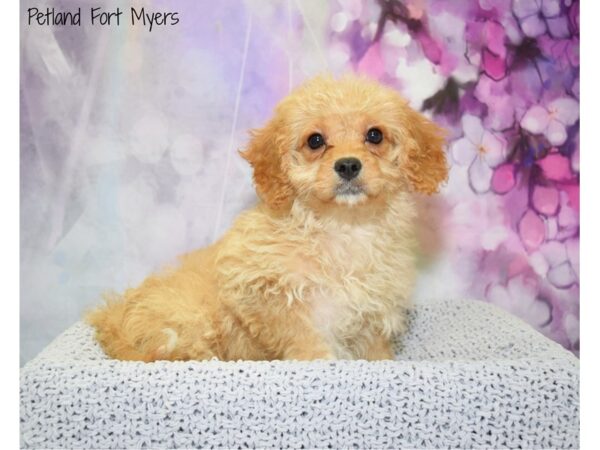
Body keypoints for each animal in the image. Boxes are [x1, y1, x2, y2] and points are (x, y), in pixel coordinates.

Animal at [86, 74, 448, 362]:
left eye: (375, 135)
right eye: (315, 141)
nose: (347, 165)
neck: (342, 227)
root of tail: (111, 316)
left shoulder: (371, 306)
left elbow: (373, 347)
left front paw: (382, 363)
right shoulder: (254, 289)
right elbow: (297, 329)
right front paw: (317, 356)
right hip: (186, 317)